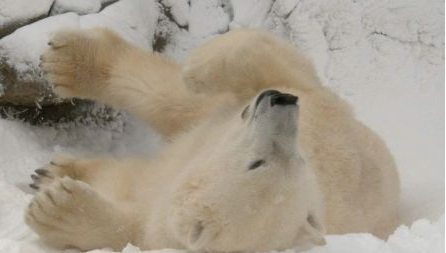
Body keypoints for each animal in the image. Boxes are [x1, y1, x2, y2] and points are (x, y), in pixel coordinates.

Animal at [26, 28, 398, 251]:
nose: (280, 102)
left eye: (256, 164)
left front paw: (57, 206)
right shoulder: (318, 104)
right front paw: (198, 66)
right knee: (172, 97)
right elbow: (270, 61)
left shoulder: (166, 227)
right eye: (300, 157)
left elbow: (131, 227)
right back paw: (71, 60)